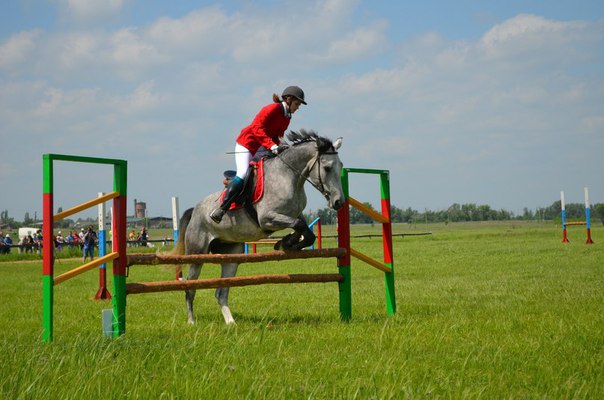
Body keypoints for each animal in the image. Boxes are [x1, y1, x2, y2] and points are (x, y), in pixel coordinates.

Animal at [173, 130, 344, 324]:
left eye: (341, 166)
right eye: (327, 168)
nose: (339, 202)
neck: (289, 176)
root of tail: (195, 210)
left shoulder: (294, 214)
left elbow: (306, 232)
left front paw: (285, 243)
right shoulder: (267, 218)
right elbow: (299, 226)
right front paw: (286, 243)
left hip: (232, 254)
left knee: (221, 292)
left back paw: (231, 323)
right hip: (197, 253)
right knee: (190, 288)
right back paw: (191, 322)